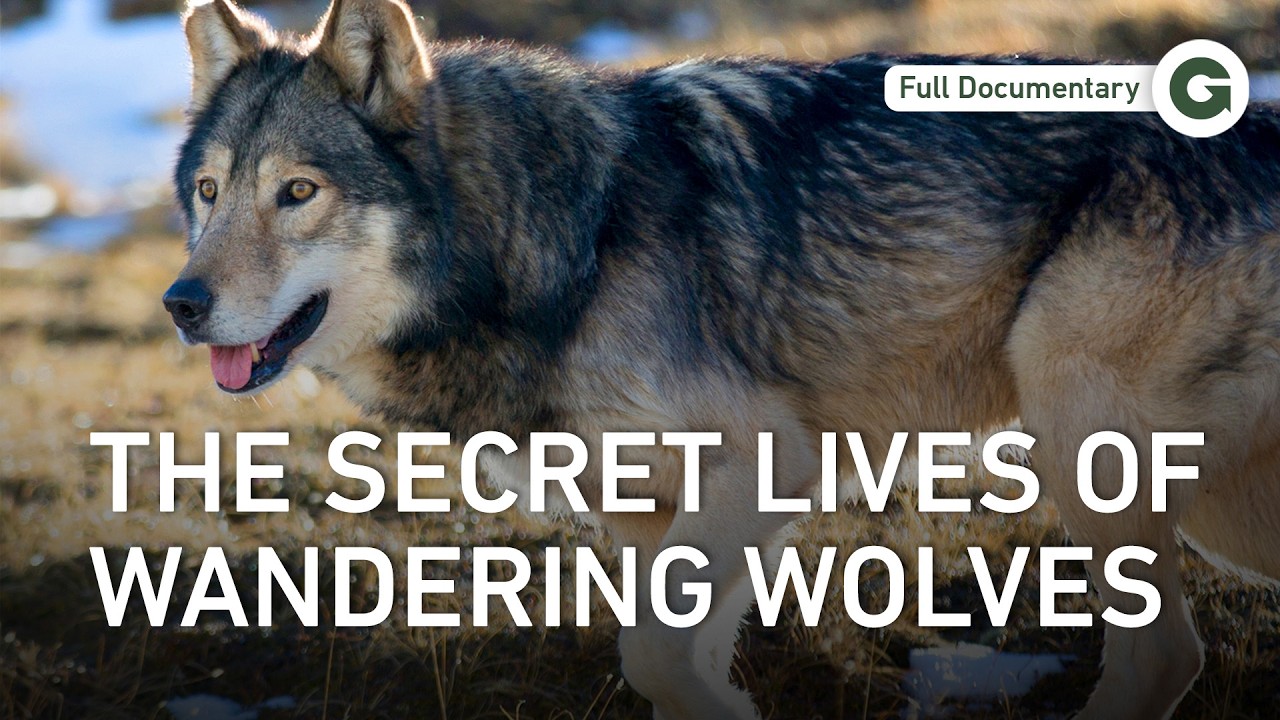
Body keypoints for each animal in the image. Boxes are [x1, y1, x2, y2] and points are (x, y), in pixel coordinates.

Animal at [162, 0, 1280, 717]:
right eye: (210, 193)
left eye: (297, 193)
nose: (180, 304)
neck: (563, 238)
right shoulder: (646, 516)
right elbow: (667, 660)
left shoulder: (772, 460)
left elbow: (653, 654)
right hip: (1212, 507)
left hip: (1082, 442)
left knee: (1162, 657)